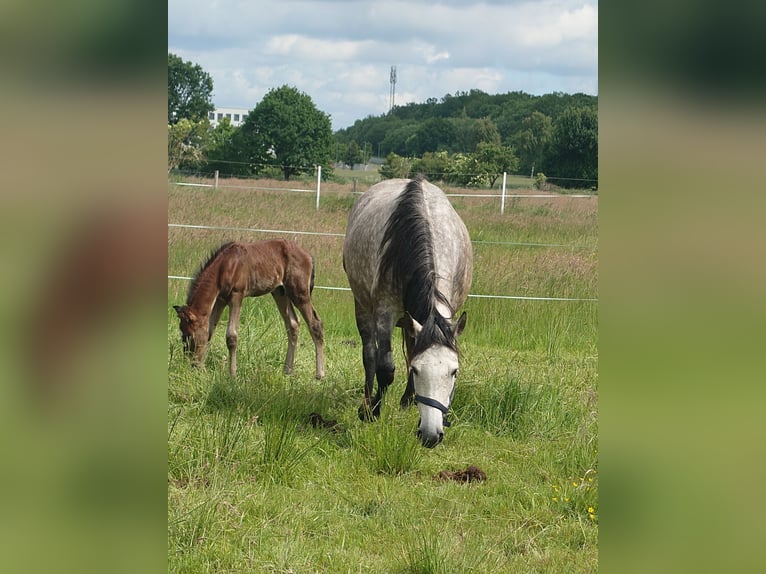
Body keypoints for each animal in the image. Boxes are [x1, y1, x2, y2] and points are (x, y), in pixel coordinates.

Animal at [173, 239, 325, 379]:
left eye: (190, 334)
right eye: (181, 333)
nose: (191, 364)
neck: (224, 266)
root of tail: (308, 255)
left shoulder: (237, 295)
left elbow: (231, 336)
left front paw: (232, 374)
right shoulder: (220, 300)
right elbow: (209, 331)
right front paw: (202, 368)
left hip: (299, 292)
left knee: (315, 324)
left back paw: (320, 374)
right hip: (280, 292)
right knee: (293, 324)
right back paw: (288, 370)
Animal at [342, 176, 473, 447]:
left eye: (454, 372)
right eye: (416, 371)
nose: (431, 436)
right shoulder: (385, 313)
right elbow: (385, 369)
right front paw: (372, 412)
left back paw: (407, 401)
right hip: (363, 307)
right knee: (369, 354)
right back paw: (367, 402)